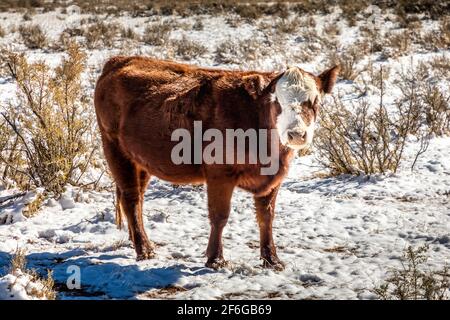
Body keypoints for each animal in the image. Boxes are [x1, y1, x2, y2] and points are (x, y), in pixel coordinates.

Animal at [95, 55, 340, 270]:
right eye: (277, 101)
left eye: (315, 101)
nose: (296, 134)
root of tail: (120, 60)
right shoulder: (220, 174)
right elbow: (220, 216)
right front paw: (216, 259)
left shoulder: (272, 180)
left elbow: (266, 218)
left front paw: (272, 259)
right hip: (115, 150)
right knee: (131, 198)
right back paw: (144, 249)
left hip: (141, 160)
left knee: (137, 199)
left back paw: (137, 240)